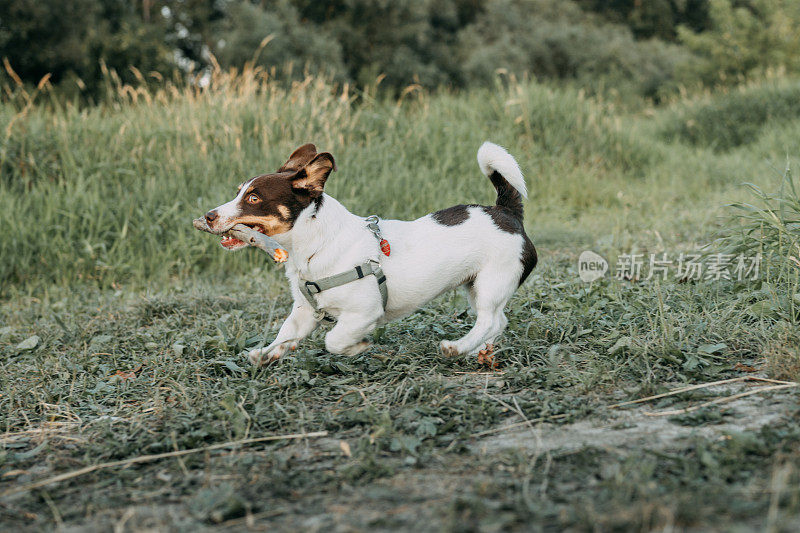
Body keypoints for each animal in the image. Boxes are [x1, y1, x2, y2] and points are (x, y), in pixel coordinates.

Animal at [200, 142, 536, 366]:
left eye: (253, 198)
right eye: (238, 192)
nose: (207, 216)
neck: (315, 247)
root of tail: (506, 211)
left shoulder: (363, 313)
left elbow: (333, 340)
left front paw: (358, 347)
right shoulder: (305, 312)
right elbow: (285, 334)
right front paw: (267, 353)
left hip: (491, 282)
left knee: (489, 320)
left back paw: (457, 347)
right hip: (475, 286)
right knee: (498, 321)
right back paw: (477, 350)